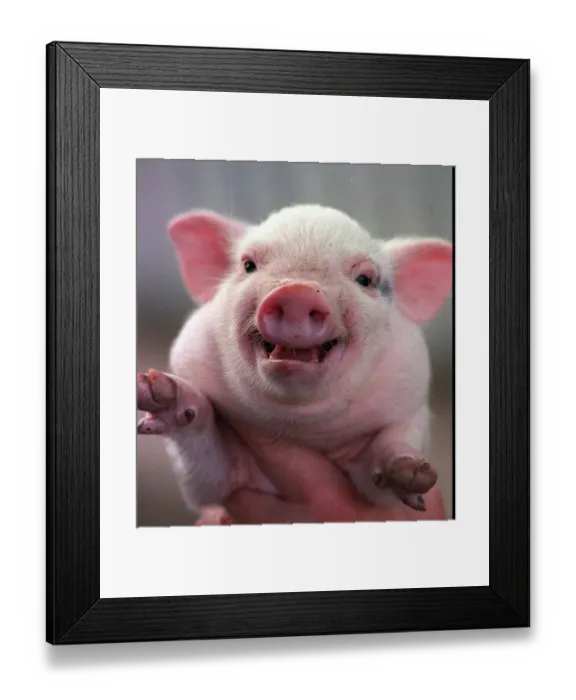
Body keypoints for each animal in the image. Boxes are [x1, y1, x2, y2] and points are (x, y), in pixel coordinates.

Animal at [136, 204, 453, 522]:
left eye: (365, 279)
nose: (297, 293)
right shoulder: (219, 486)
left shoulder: (407, 407)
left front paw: (412, 471)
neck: (298, 427)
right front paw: (160, 392)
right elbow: (206, 473)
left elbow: (384, 469)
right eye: (249, 265)